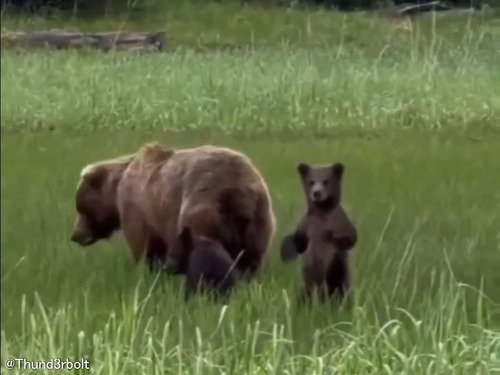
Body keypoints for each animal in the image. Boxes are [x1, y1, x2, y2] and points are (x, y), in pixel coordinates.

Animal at [70, 142, 276, 278]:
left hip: (201, 211)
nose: (76, 235)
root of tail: (237, 190)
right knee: (252, 259)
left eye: (81, 207)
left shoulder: (139, 209)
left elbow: (143, 246)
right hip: (260, 219)